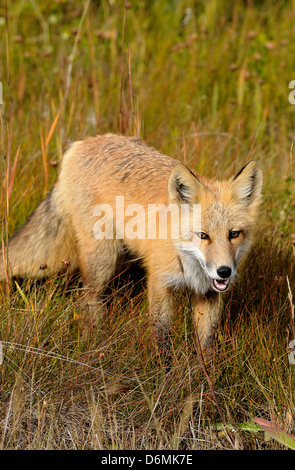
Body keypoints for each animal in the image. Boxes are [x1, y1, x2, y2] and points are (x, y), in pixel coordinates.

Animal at [0, 134, 264, 350]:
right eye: (203, 235)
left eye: (234, 234)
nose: (224, 271)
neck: (187, 261)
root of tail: (81, 144)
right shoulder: (159, 285)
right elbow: (162, 342)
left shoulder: (208, 295)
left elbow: (206, 348)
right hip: (102, 261)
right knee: (89, 300)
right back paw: (97, 340)